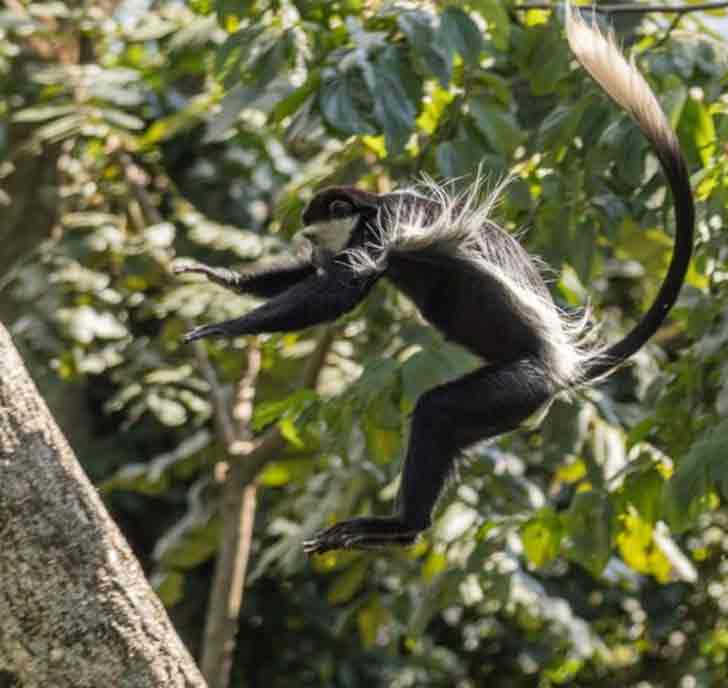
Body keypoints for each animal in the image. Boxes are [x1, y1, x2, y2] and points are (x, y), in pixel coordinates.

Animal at [173, 7, 694, 555]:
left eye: (313, 233)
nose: (312, 249)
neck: (369, 211)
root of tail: (564, 364)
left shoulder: (387, 227)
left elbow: (339, 292)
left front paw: (225, 328)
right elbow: (324, 282)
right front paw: (222, 278)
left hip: (519, 385)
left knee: (437, 412)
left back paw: (400, 524)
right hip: (513, 405)